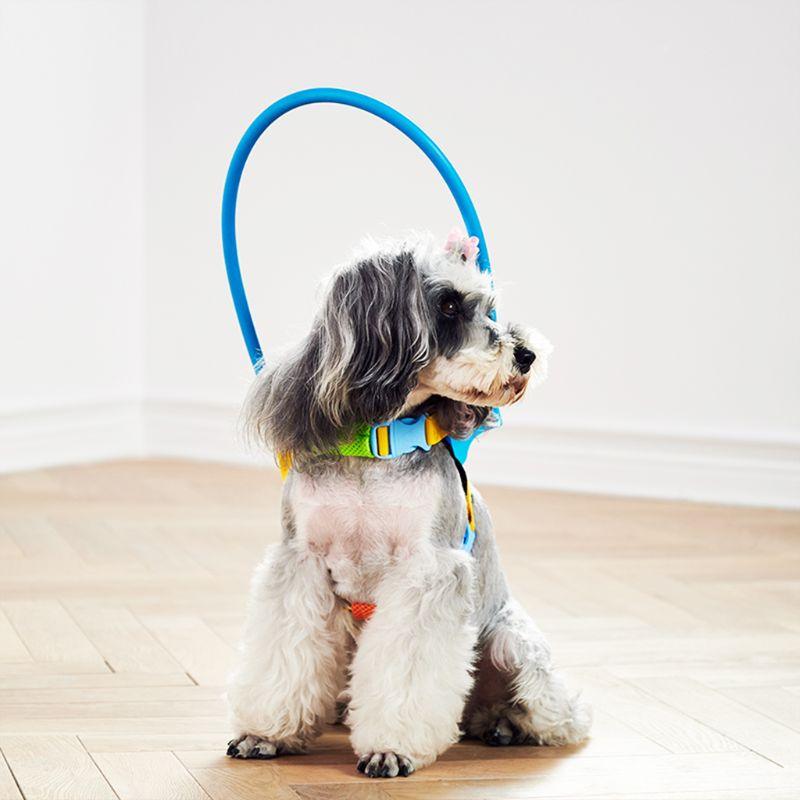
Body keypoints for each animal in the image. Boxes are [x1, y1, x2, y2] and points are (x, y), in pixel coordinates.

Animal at [228, 230, 592, 776]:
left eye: (487, 306)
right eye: (448, 304)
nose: (526, 354)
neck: (375, 444)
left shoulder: (428, 571)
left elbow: (407, 669)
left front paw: (391, 748)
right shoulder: (300, 562)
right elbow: (286, 655)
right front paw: (266, 733)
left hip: (509, 645)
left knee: (552, 713)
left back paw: (508, 724)